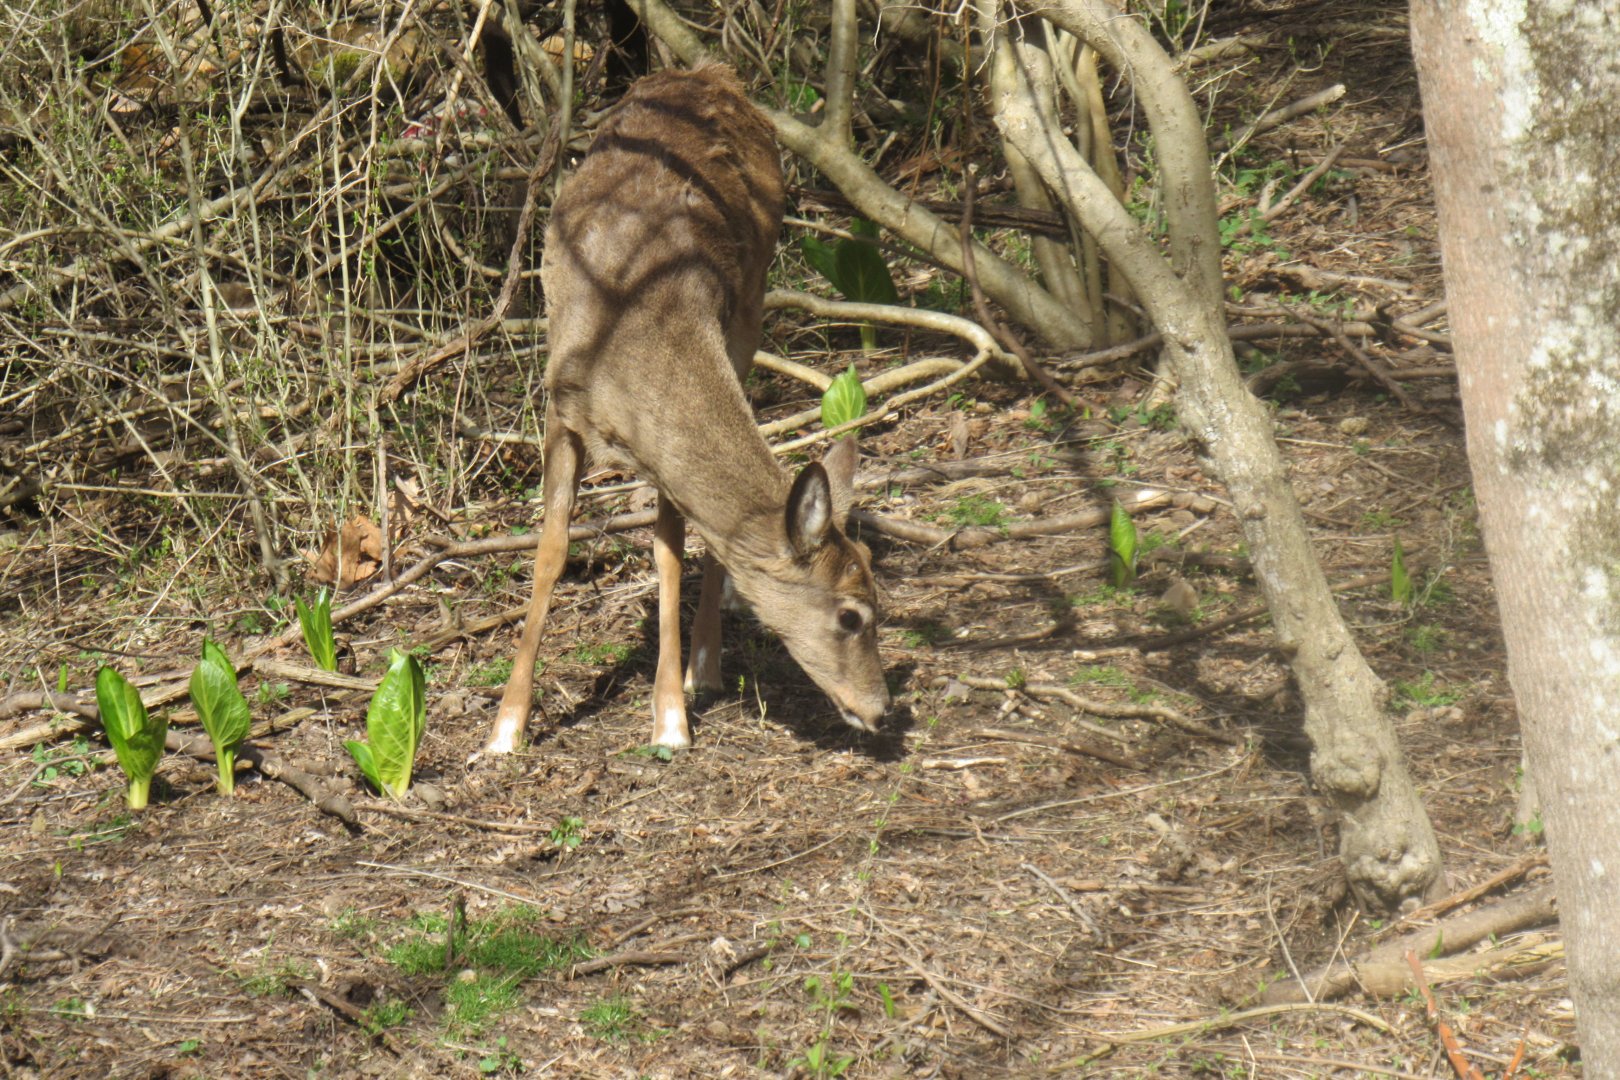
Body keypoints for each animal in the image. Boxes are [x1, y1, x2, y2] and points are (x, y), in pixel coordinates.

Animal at [484, 64, 890, 755]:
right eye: (850, 615)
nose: (882, 709)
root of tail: (709, 73)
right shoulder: (560, 405)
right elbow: (550, 553)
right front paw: (507, 726)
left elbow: (668, 555)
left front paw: (671, 717)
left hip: (751, 305)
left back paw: (705, 664)